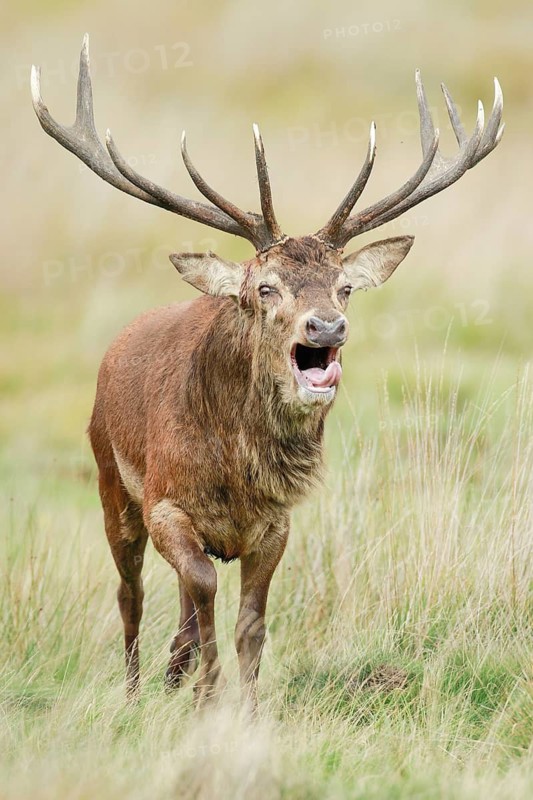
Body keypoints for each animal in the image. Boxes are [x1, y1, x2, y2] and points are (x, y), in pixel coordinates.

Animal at [31, 35, 504, 709]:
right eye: (265, 287)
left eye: (345, 286)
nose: (327, 327)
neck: (237, 474)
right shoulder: (167, 503)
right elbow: (202, 588)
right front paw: (206, 698)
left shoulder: (277, 523)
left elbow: (250, 620)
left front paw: (246, 709)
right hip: (109, 479)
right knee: (132, 593)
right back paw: (135, 690)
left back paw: (172, 673)